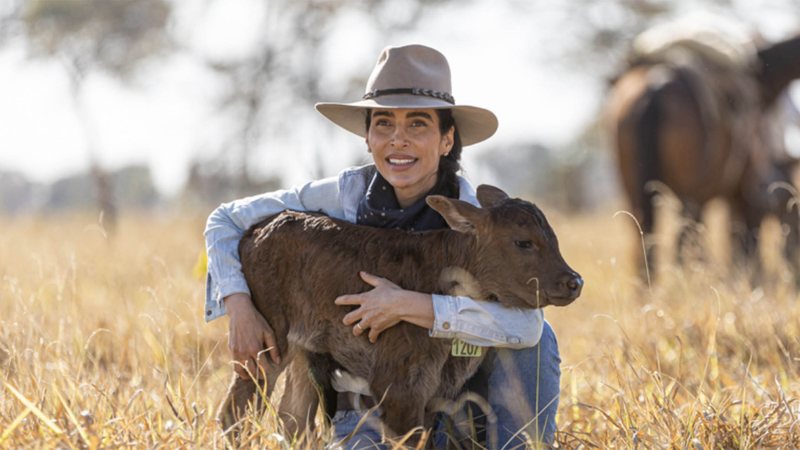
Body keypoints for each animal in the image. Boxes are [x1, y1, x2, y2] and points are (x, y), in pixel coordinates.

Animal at [608, 22, 800, 284]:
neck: (761, 76)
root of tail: (655, 87)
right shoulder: (744, 191)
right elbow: (747, 244)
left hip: (636, 189)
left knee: (646, 239)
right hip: (690, 194)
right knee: (681, 240)